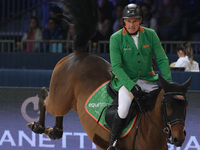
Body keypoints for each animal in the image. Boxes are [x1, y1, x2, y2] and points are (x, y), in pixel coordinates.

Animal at [26, 0, 192, 149]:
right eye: (167, 106)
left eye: (185, 105)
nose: (179, 138)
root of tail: (80, 53)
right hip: (60, 99)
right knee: (45, 97)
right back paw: (38, 126)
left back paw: (55, 131)